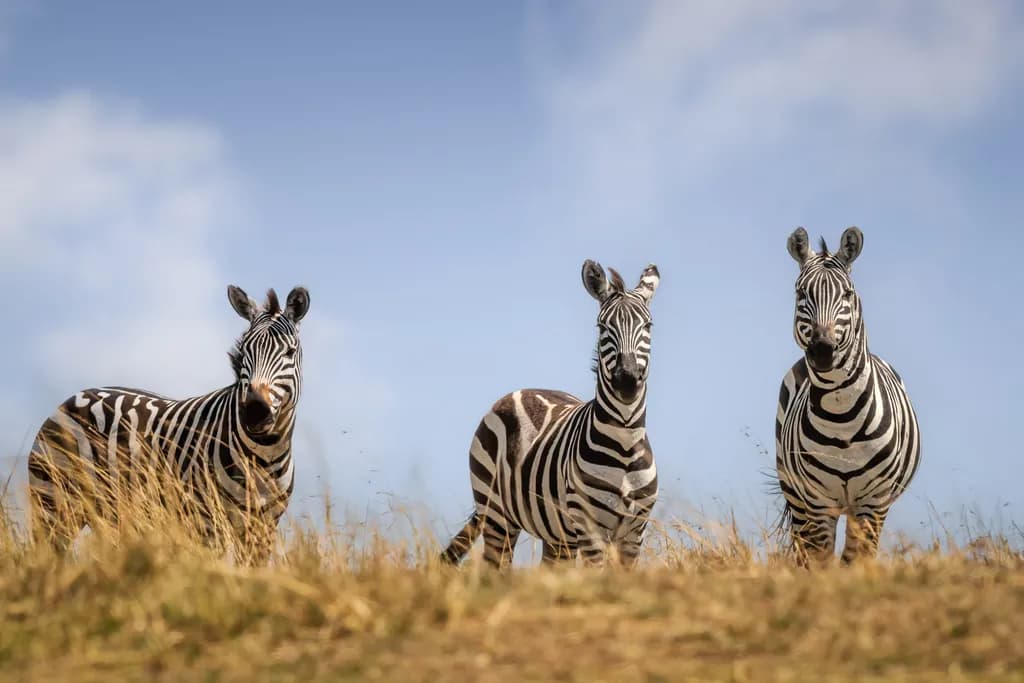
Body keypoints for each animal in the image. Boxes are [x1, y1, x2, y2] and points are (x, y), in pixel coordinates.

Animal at [27, 285, 310, 562]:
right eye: (244, 351)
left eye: (290, 352)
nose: (254, 412)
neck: (263, 455)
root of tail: (75, 396)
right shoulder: (206, 521)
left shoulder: (262, 529)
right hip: (53, 499)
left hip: (106, 514)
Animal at [441, 259, 660, 569]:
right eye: (602, 326)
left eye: (648, 325)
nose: (627, 381)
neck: (626, 441)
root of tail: (522, 390)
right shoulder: (589, 528)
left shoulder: (635, 531)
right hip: (496, 512)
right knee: (494, 568)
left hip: (557, 535)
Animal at [775, 226, 921, 565]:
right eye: (801, 294)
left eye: (847, 295)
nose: (822, 351)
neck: (841, 414)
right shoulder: (817, 501)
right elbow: (820, 561)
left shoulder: (873, 501)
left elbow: (857, 560)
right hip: (794, 492)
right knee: (803, 550)